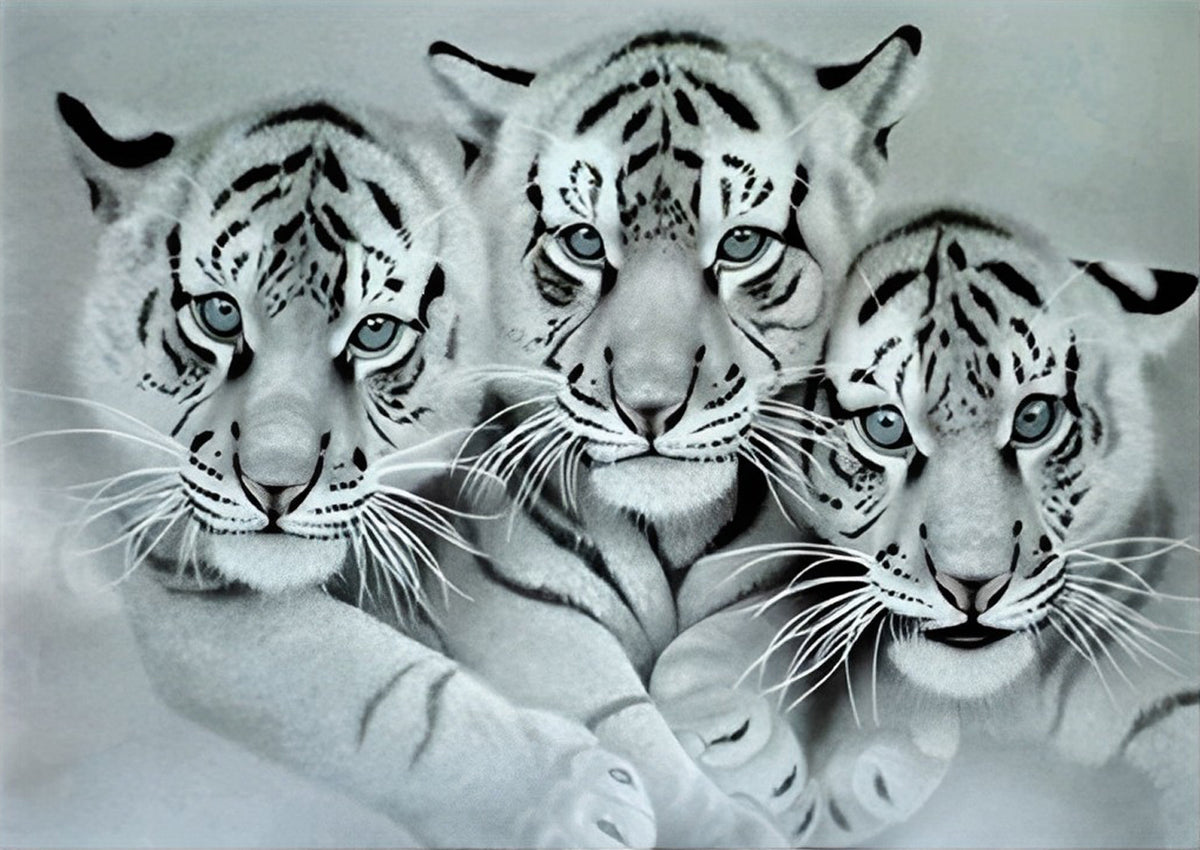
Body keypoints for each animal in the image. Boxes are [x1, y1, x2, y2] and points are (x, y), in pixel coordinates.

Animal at [53, 91, 656, 848]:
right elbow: (385, 692)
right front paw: (580, 798)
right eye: (220, 314)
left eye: (375, 332)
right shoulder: (187, 582)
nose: (275, 483)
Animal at [418, 23, 925, 845]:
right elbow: (625, 728)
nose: (650, 404)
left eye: (743, 244)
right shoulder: (520, 609)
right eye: (583, 244)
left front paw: (744, 745)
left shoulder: (788, 574)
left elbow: (731, 641)